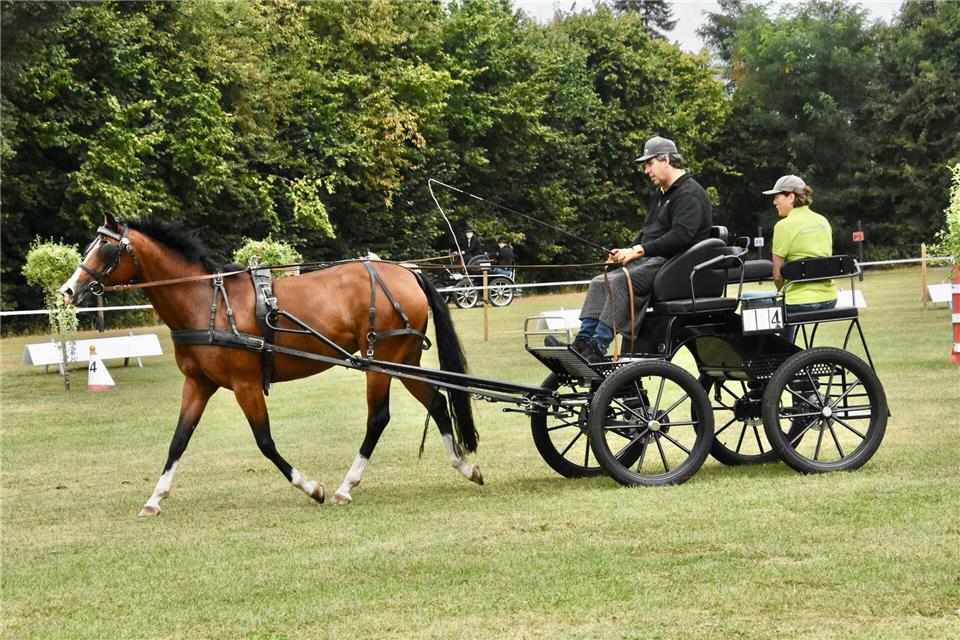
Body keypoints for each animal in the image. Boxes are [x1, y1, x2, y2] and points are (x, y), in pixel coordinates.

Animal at [59, 213, 481, 516]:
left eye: (104, 249)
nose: (67, 290)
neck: (207, 303)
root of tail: (408, 272)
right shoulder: (198, 384)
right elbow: (178, 439)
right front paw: (155, 498)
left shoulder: (245, 385)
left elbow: (264, 441)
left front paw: (311, 487)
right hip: (404, 360)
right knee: (437, 402)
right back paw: (464, 466)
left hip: (380, 363)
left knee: (379, 418)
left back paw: (345, 487)